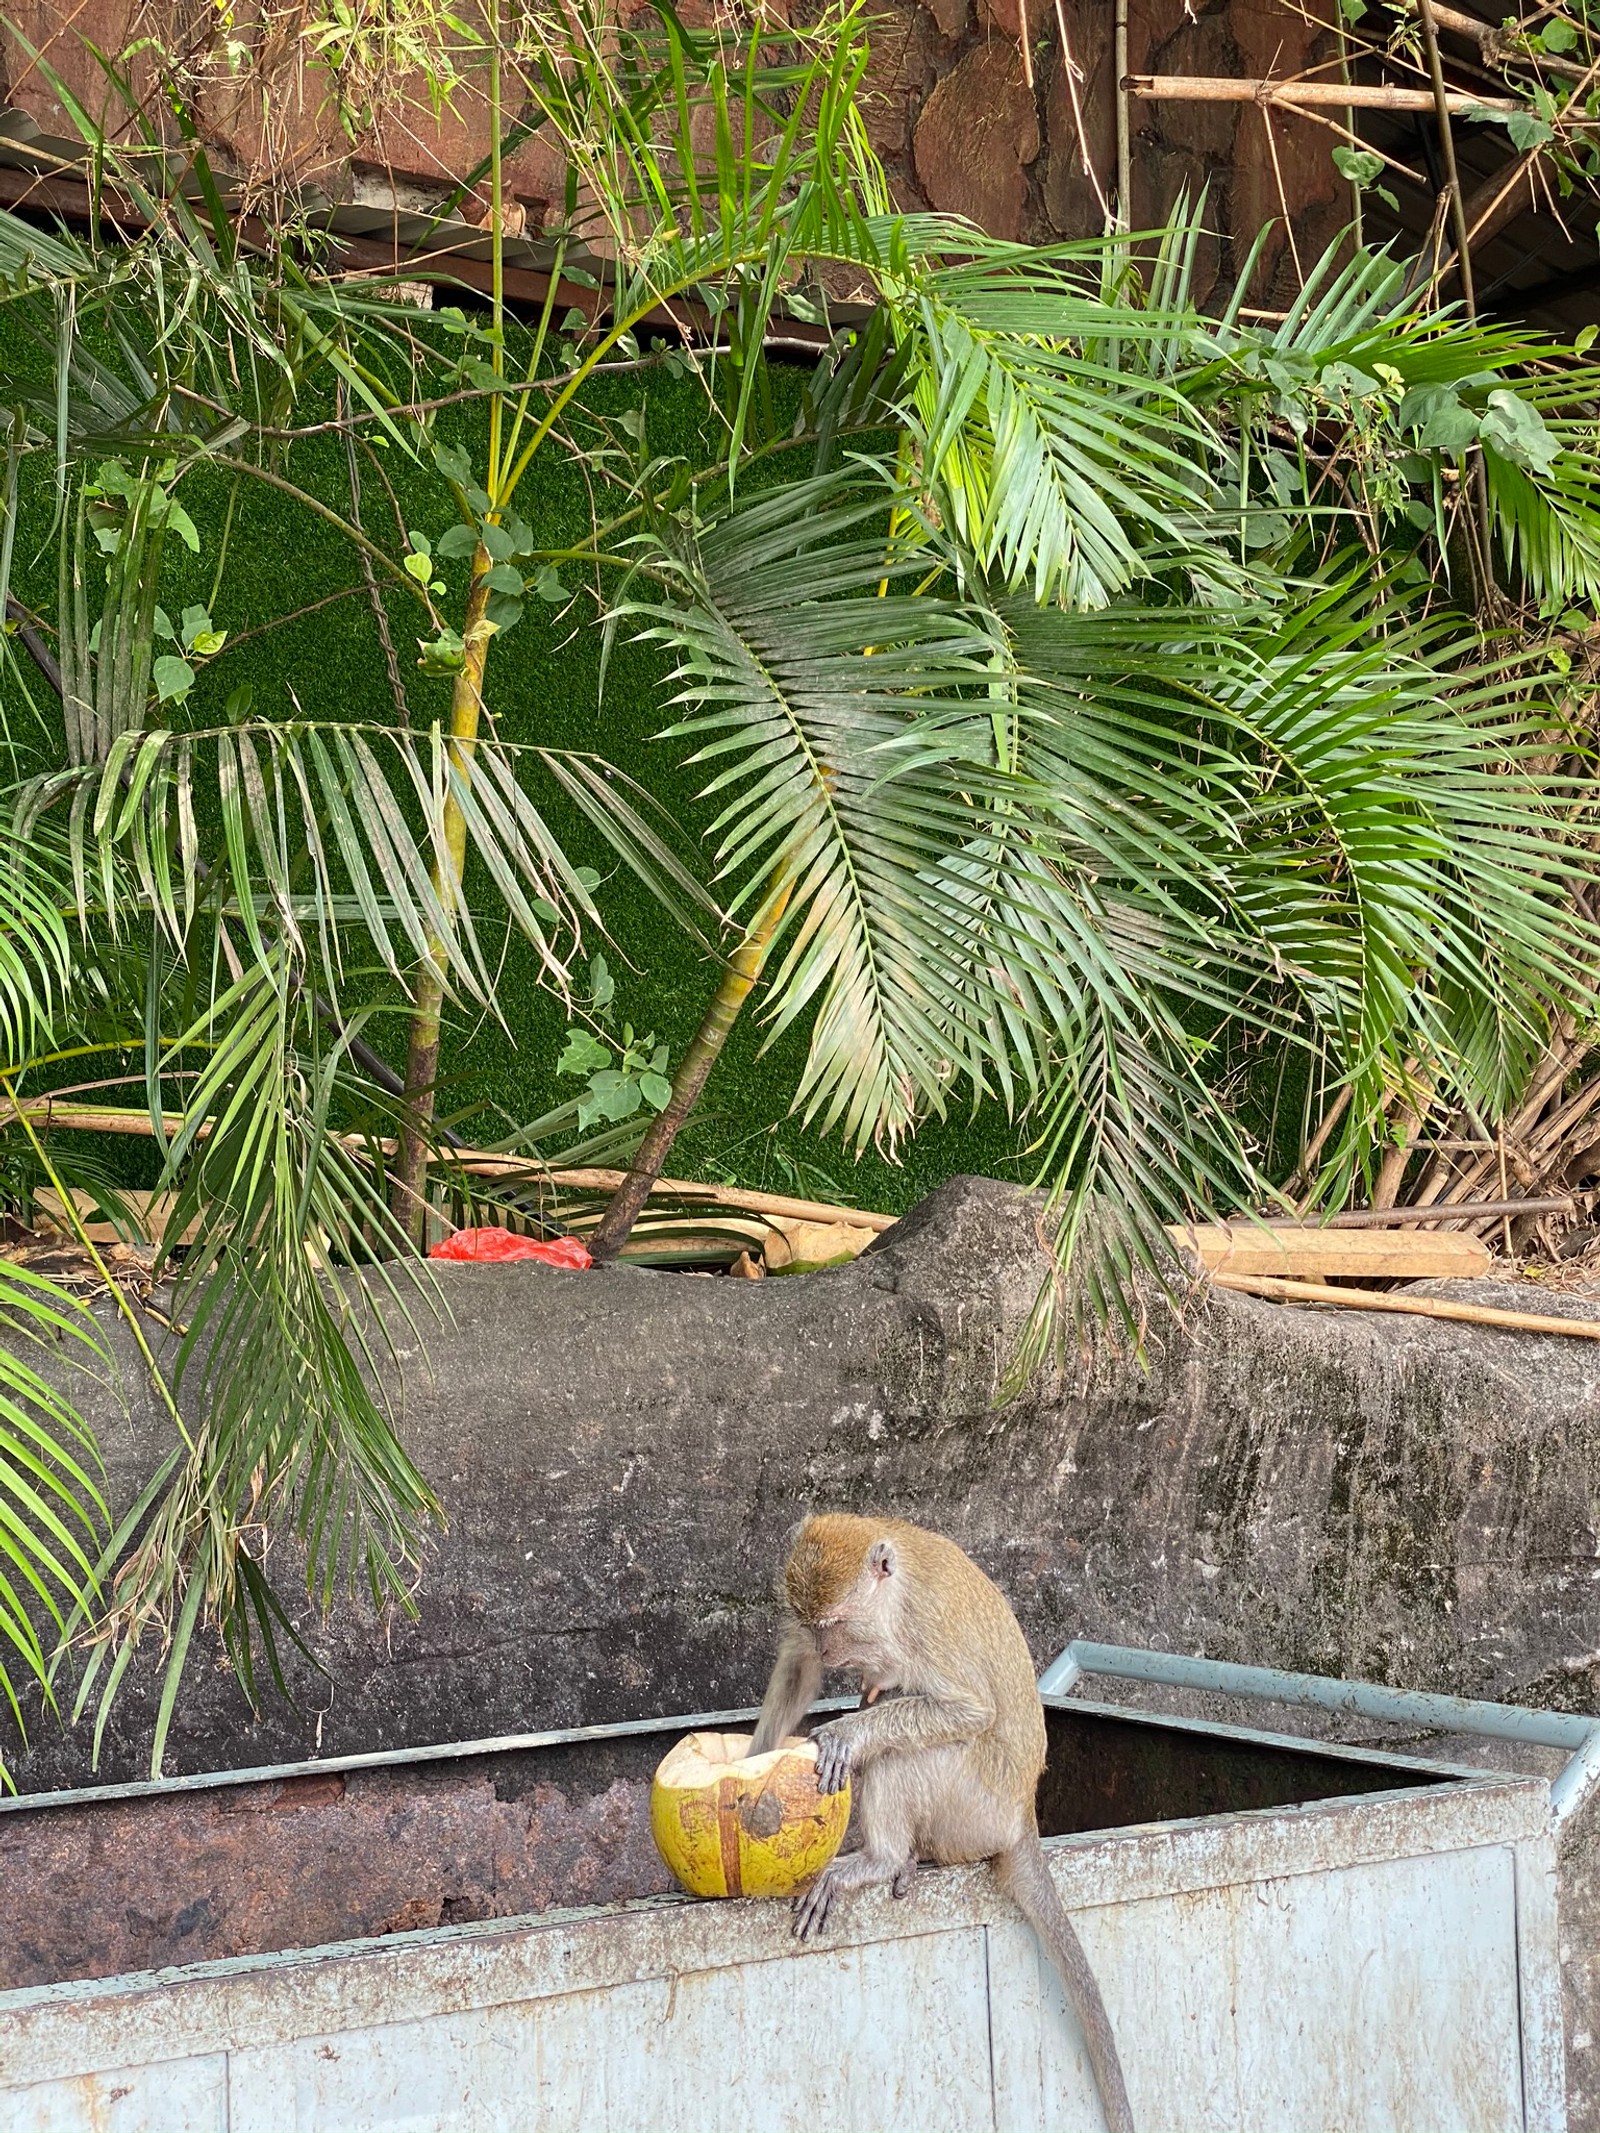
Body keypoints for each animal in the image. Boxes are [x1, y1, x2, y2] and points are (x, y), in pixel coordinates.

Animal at [755, 1518, 1143, 2133]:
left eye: (838, 1624)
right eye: (816, 1626)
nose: (829, 1649)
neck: (893, 1596)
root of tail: (1022, 1816)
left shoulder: (921, 1627)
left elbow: (968, 1711)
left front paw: (845, 1735)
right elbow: (798, 1670)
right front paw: (752, 1755)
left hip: (974, 1805)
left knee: (905, 1751)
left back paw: (881, 1858)